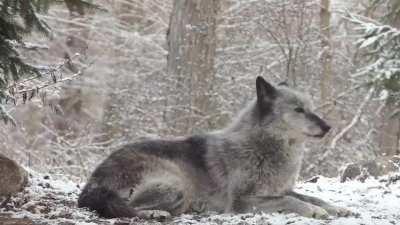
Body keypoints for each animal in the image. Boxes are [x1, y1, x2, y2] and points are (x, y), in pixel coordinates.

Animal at [78, 77, 350, 220]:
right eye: (298, 110)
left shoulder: (280, 189)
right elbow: (292, 201)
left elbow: (311, 196)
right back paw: (157, 214)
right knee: (129, 209)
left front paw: (337, 207)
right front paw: (315, 211)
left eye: (310, 108)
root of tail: (92, 182)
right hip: (176, 184)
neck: (263, 147)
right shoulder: (243, 201)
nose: (328, 126)